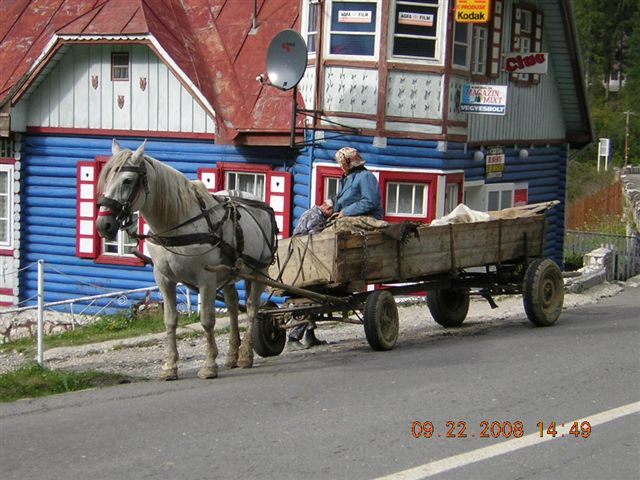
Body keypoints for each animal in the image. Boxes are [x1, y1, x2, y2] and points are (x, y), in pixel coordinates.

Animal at [96, 141, 276, 380]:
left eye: (127, 180)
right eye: (106, 179)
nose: (103, 225)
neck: (177, 225)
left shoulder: (206, 279)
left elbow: (207, 321)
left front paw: (209, 365)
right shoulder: (164, 279)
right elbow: (170, 321)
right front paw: (170, 366)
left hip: (258, 270)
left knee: (252, 308)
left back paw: (246, 355)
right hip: (229, 272)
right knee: (232, 306)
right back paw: (231, 355)